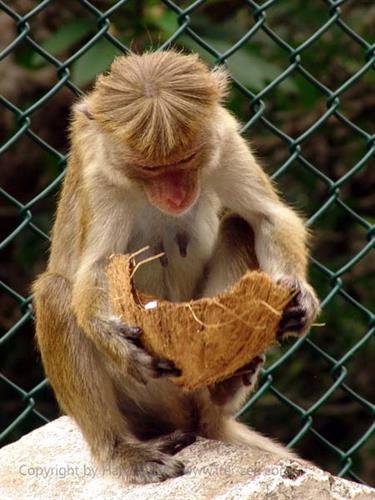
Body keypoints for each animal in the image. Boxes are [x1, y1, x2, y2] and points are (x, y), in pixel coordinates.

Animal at [33, 50, 320, 484]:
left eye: (186, 159)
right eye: (150, 169)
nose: (177, 193)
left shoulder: (222, 137)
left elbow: (267, 217)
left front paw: (298, 293)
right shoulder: (102, 173)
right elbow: (96, 266)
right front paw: (115, 340)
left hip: (189, 390)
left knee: (239, 226)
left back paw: (225, 383)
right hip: (146, 399)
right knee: (54, 291)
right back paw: (122, 451)